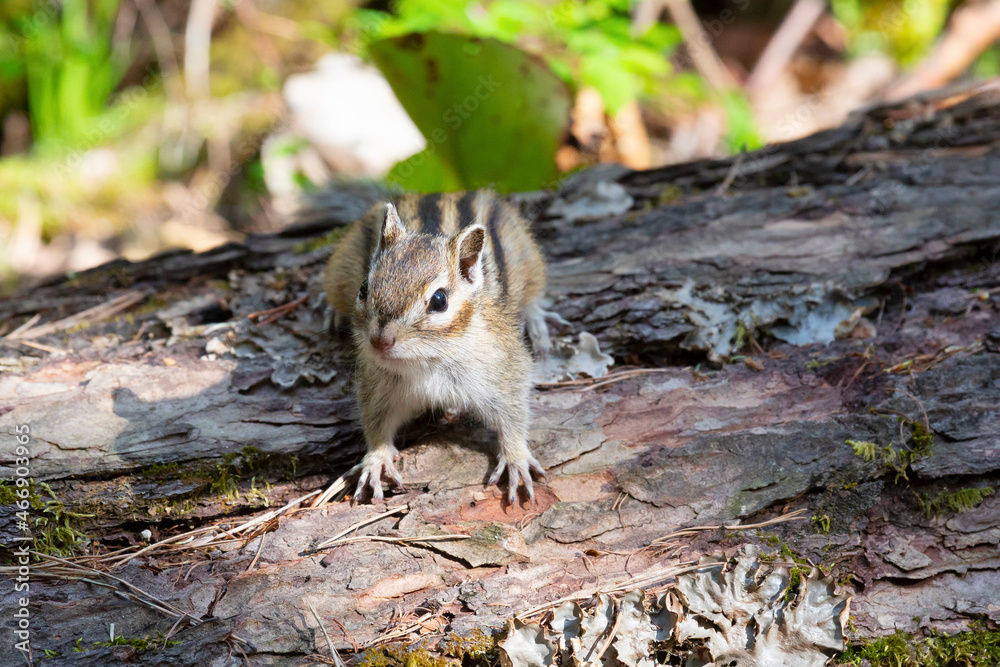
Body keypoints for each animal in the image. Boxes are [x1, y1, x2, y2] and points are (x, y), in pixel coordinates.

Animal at [324, 191, 554, 503]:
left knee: (535, 294)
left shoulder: (504, 369)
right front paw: (375, 460)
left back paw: (536, 320)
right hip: (341, 265)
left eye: (439, 300)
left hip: (529, 258)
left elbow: (513, 415)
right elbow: (376, 423)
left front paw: (516, 458)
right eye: (363, 289)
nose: (379, 341)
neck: (429, 360)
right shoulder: (378, 385)